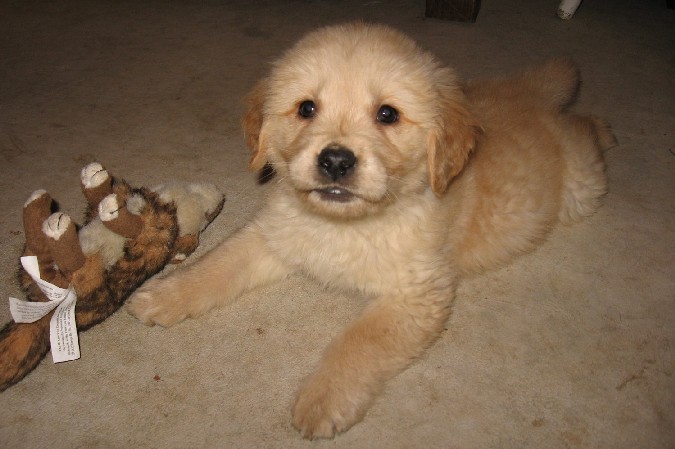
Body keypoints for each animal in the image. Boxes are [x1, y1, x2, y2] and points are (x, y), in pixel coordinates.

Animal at [127, 21, 616, 438]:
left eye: (387, 114)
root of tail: (529, 96)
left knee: (582, 129)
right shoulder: (273, 236)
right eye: (306, 108)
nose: (335, 161)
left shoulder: (417, 294)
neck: (346, 225)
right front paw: (164, 295)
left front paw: (323, 400)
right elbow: (218, 264)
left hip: (582, 190)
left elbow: (359, 342)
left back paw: (603, 127)